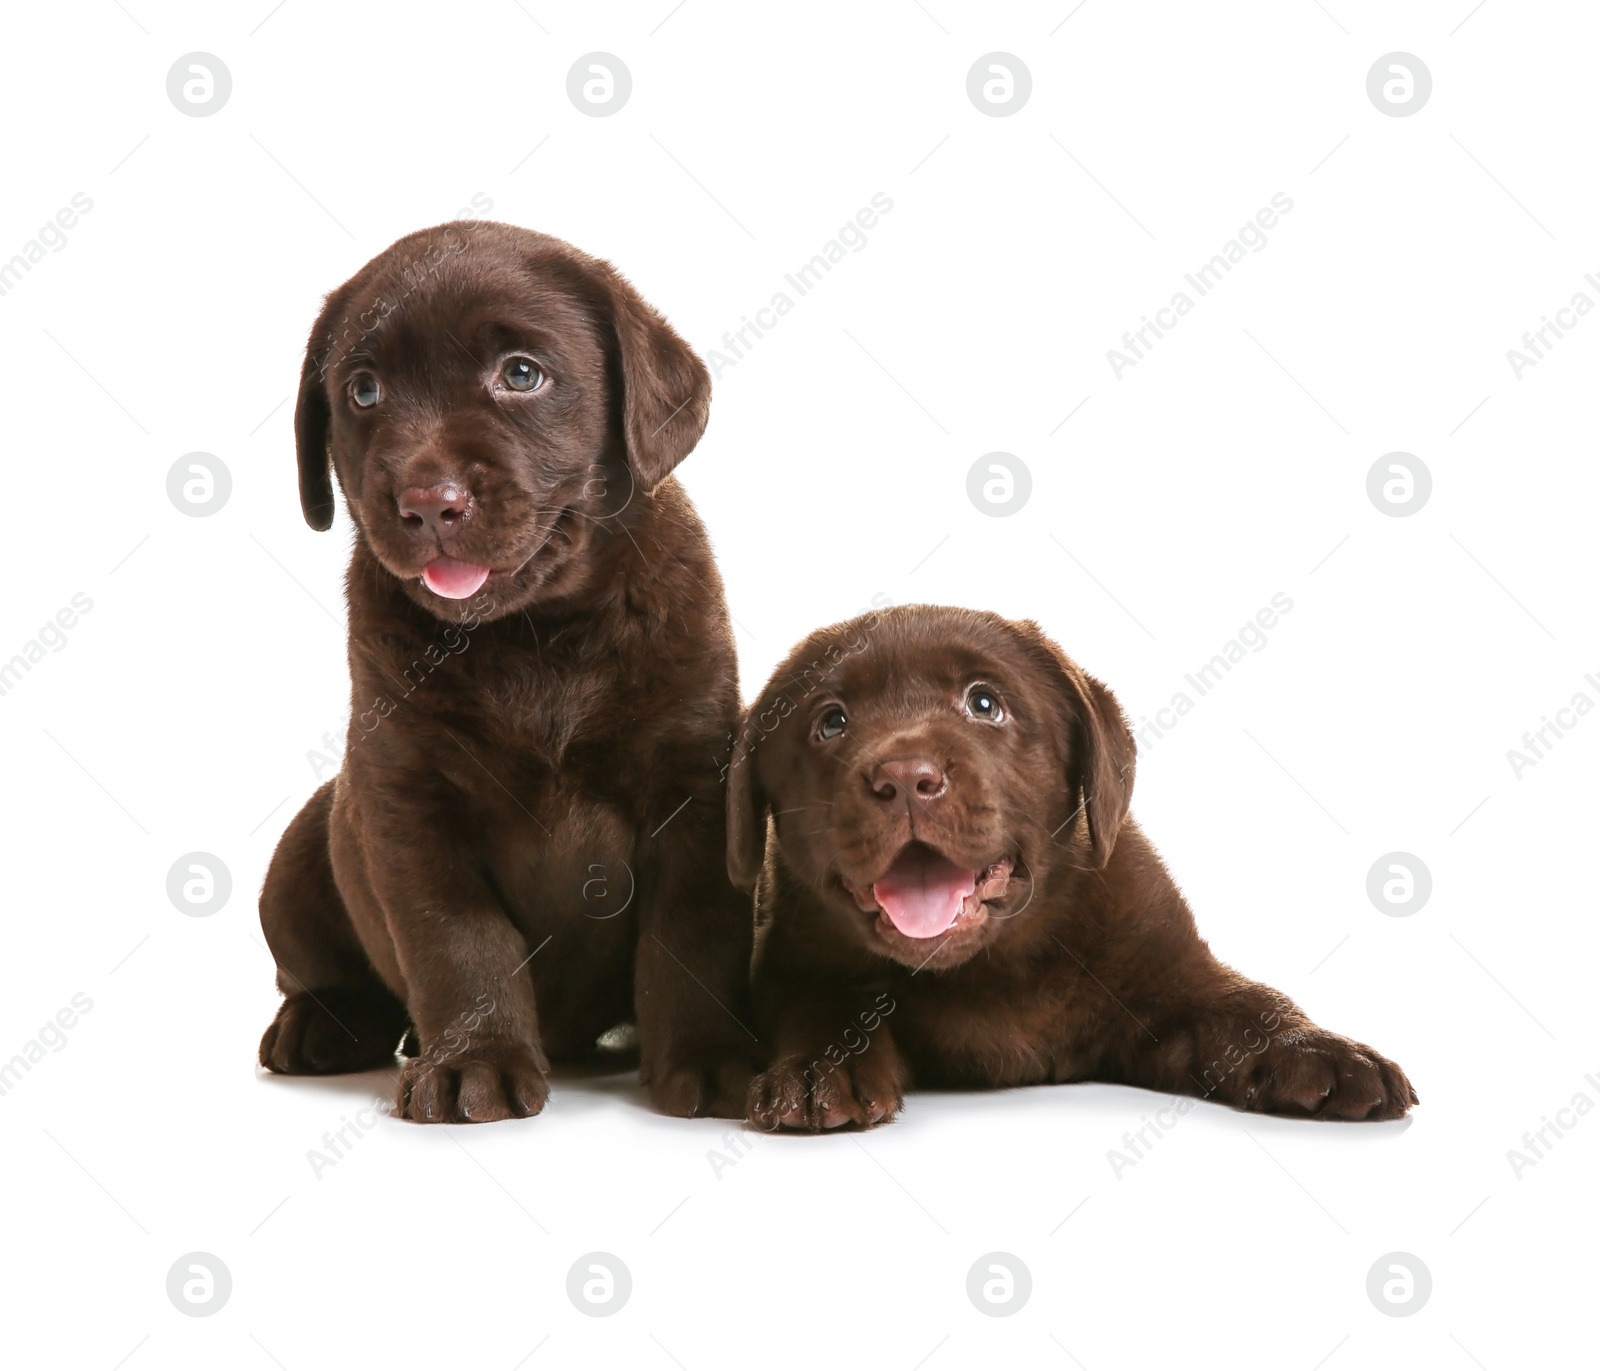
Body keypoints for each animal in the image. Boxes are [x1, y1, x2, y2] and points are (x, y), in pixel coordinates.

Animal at [732, 604, 1420, 1126]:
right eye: (831, 722)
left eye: (984, 704)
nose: (905, 778)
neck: (989, 966)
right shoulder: (791, 961)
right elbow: (824, 1005)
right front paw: (819, 1070)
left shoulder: (1172, 976)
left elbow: (1248, 1003)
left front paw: (1322, 1050)